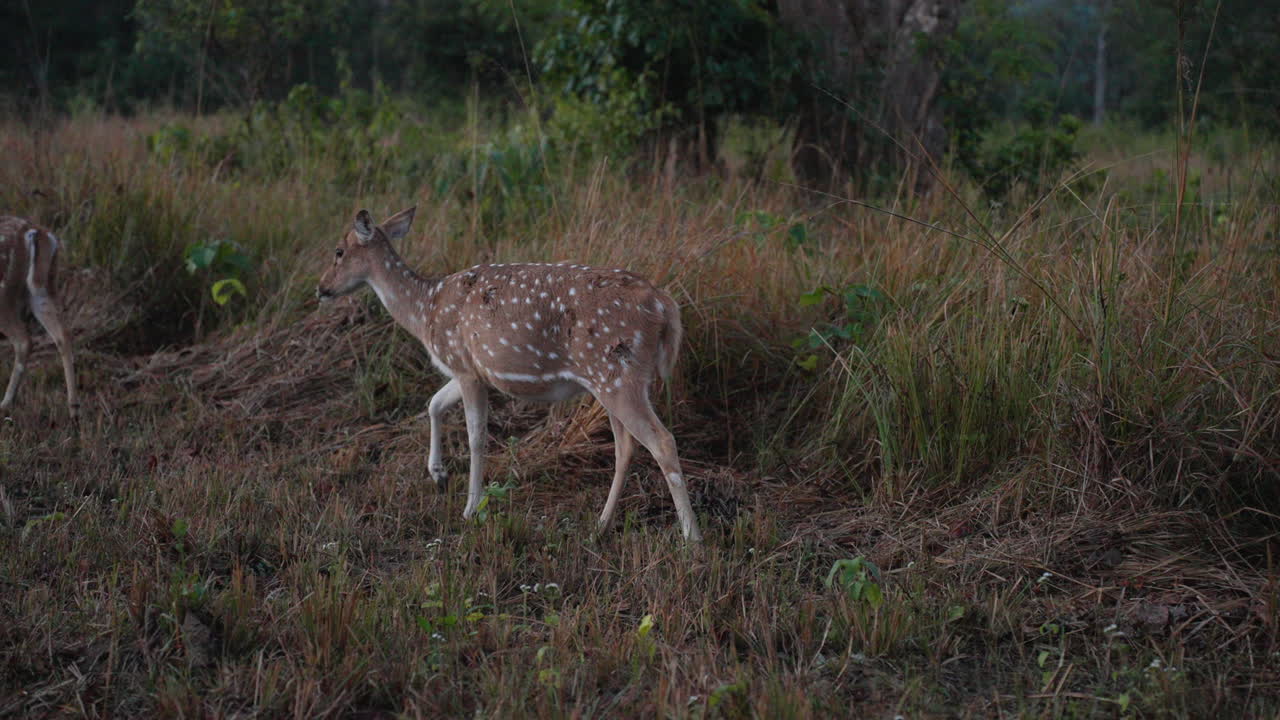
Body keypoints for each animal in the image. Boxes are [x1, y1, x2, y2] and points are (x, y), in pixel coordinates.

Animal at [0, 216, 80, 423]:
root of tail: (33, 231)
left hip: (4, 293)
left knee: (24, 341)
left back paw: (5, 404)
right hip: (44, 285)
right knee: (63, 334)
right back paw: (74, 411)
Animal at [317, 207, 702, 542]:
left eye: (338, 251)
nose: (321, 288)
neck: (425, 310)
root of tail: (665, 306)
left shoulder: (464, 366)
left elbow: (475, 436)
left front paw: (470, 509)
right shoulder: (469, 368)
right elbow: (433, 403)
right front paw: (438, 474)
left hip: (617, 373)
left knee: (662, 441)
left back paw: (692, 538)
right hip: (614, 379)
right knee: (626, 447)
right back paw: (601, 525)